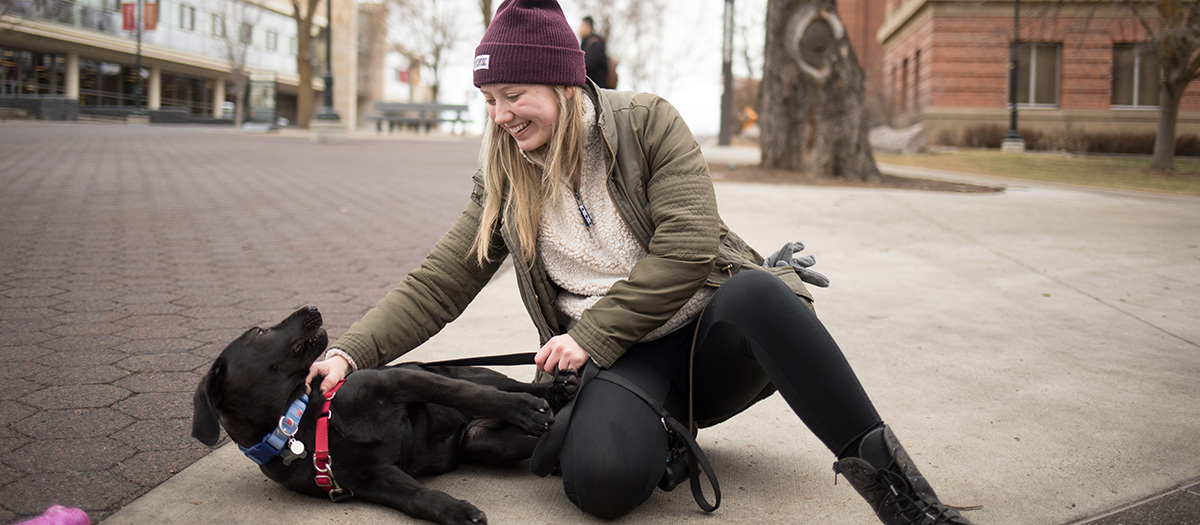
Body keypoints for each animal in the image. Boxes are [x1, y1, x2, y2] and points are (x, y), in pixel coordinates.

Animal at [192, 305, 576, 522]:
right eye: (259, 332)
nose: (312, 307)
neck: (299, 423)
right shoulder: (373, 479)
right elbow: (419, 498)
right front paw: (457, 512)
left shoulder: (402, 380)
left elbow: (470, 395)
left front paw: (527, 409)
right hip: (488, 445)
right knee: (531, 445)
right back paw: (555, 456)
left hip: (472, 376)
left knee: (504, 386)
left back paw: (552, 394)